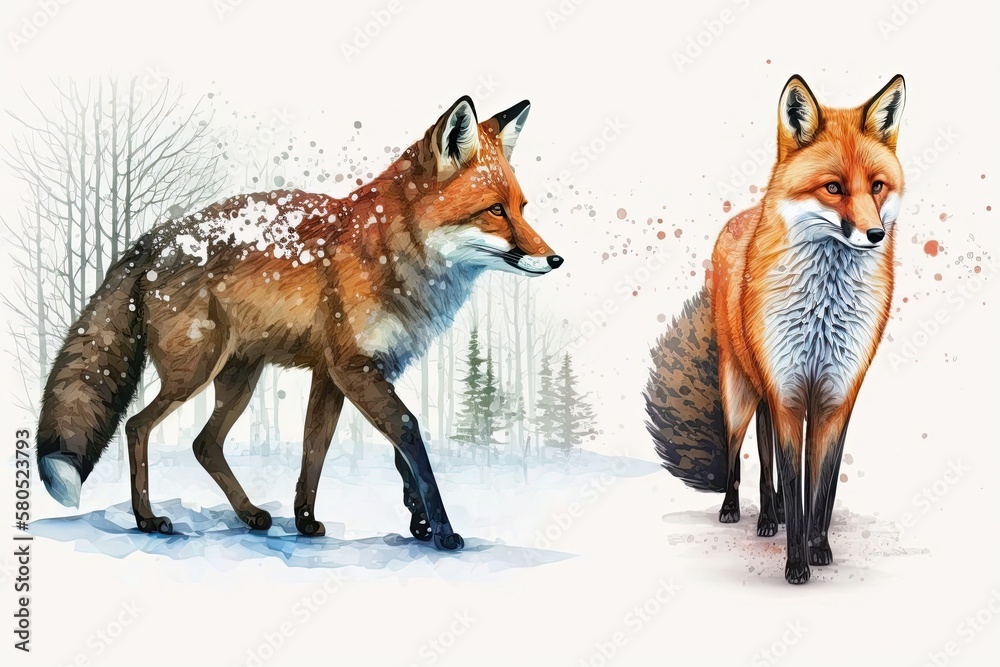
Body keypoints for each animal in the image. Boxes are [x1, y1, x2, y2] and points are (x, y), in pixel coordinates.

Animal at [36, 96, 563, 551]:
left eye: (521, 209)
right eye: (494, 210)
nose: (555, 260)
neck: (389, 253)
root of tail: (153, 238)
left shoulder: (347, 372)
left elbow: (326, 450)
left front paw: (321, 520)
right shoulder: (352, 368)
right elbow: (410, 435)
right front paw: (442, 530)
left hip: (238, 379)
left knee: (204, 445)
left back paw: (250, 514)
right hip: (196, 372)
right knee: (137, 427)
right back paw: (146, 519)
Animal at [646, 74, 906, 583]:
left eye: (878, 187)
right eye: (833, 187)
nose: (875, 235)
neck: (823, 314)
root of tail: (742, 215)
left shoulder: (836, 398)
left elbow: (820, 489)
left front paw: (819, 546)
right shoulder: (786, 393)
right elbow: (785, 473)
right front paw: (796, 564)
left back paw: (779, 514)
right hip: (741, 395)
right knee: (742, 460)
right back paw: (750, 514)